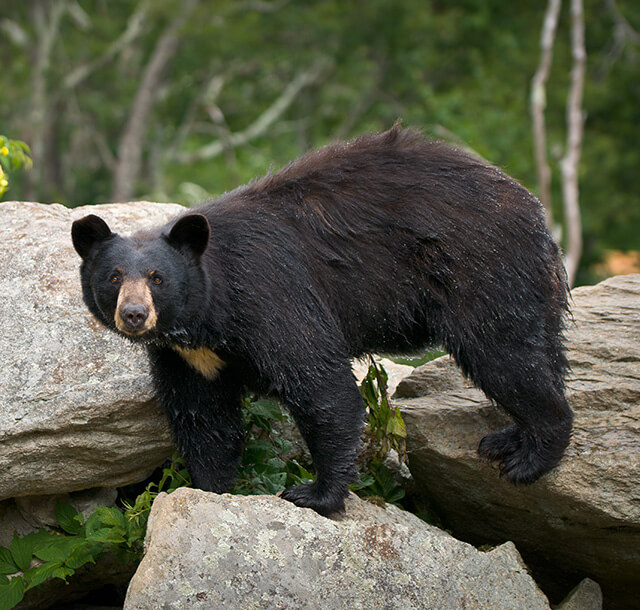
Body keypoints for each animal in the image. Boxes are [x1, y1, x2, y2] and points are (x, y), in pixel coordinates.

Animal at [72, 127, 572, 512]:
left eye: (157, 278)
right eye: (114, 277)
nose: (134, 314)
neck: (209, 316)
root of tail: (534, 210)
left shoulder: (270, 296)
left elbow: (320, 386)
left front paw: (316, 494)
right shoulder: (187, 357)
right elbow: (203, 418)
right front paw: (210, 488)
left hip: (481, 270)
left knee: (504, 355)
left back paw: (530, 456)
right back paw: (508, 438)